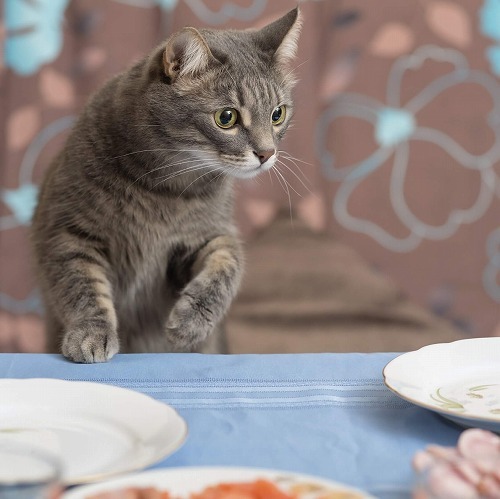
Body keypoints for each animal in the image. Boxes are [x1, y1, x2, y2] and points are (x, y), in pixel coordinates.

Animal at [33, 5, 302, 362]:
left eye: (277, 114)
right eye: (226, 117)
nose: (267, 153)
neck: (167, 188)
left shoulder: (209, 234)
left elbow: (228, 264)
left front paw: (192, 321)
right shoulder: (68, 232)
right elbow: (81, 286)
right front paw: (91, 332)